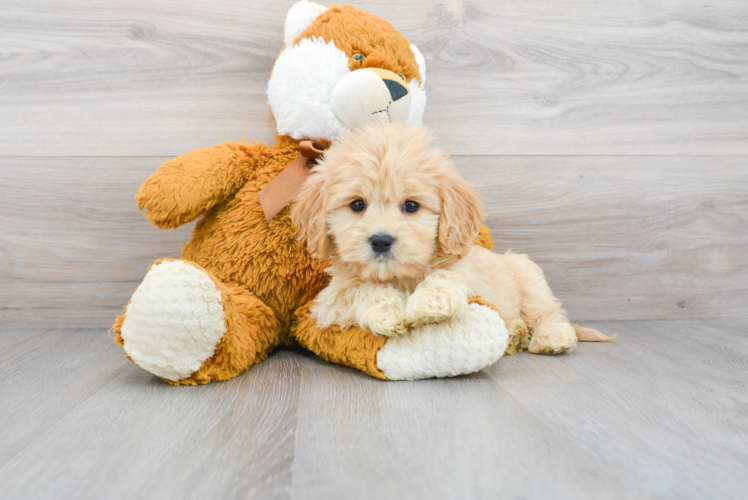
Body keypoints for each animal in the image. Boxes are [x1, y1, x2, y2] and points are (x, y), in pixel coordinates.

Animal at [290, 122, 612, 354]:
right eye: (357, 205)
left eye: (411, 206)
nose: (381, 240)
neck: (400, 277)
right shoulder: (328, 303)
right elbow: (361, 290)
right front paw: (388, 313)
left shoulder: (468, 271)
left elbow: (447, 274)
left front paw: (431, 303)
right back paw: (515, 334)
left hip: (531, 281)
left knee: (550, 313)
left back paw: (550, 337)